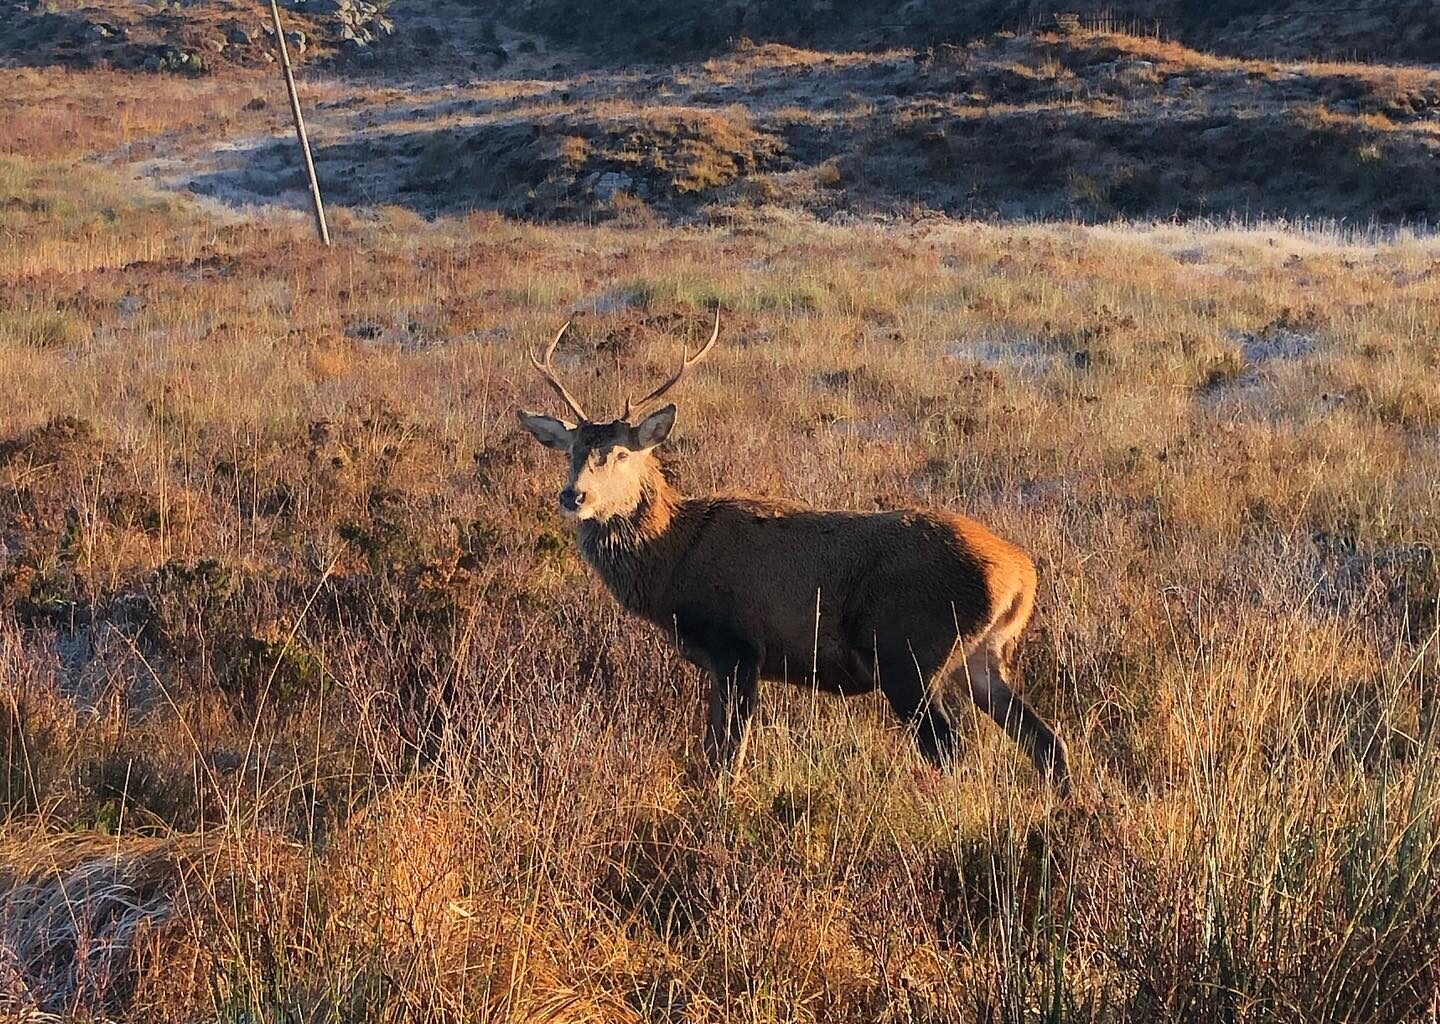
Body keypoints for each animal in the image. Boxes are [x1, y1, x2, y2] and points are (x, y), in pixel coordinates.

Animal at [516, 311, 1070, 789]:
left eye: (621, 454)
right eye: (571, 452)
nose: (573, 496)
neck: (673, 563)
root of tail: (1022, 576)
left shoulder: (737, 644)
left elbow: (726, 755)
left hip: (910, 651)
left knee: (953, 751)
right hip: (982, 655)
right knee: (1046, 741)